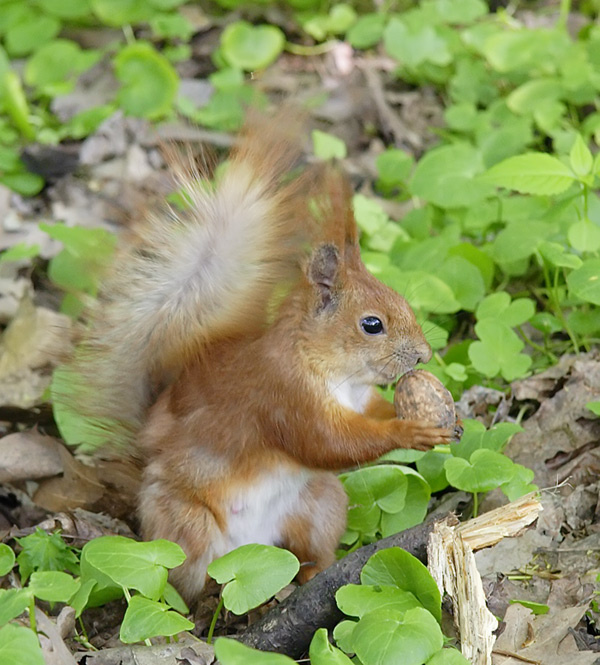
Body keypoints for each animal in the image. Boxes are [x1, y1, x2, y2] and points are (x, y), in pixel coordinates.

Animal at [69, 114, 459, 603]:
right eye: (372, 324)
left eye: (403, 299)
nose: (424, 354)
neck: (331, 369)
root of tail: (251, 549)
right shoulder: (283, 396)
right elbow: (329, 444)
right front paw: (411, 430)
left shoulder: (358, 399)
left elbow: (372, 414)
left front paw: (439, 417)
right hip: (187, 527)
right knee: (187, 583)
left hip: (320, 503)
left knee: (307, 551)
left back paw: (308, 576)